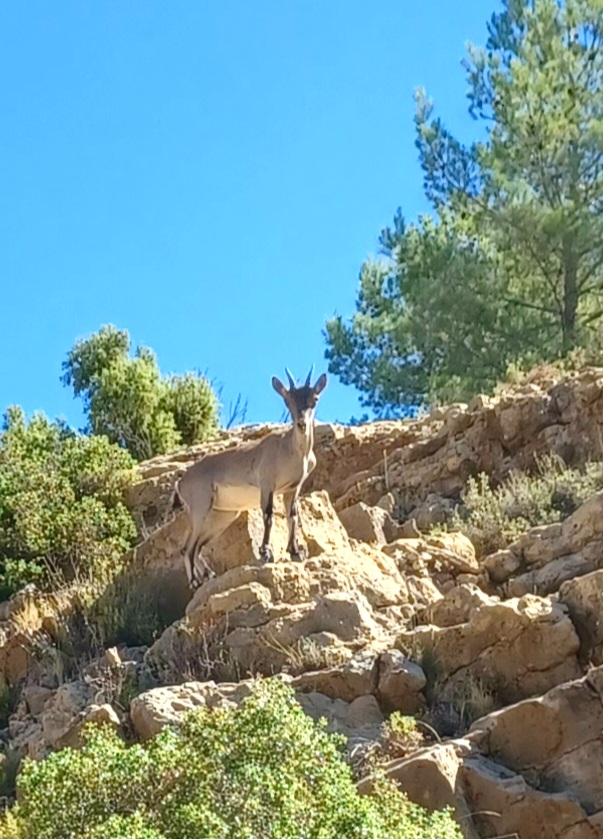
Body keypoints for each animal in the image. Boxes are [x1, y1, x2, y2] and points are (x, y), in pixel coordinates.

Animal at [173, 367, 327, 589]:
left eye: (314, 399)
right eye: (287, 401)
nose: (301, 424)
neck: (291, 451)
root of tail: (181, 482)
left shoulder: (292, 489)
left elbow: (292, 516)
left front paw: (295, 552)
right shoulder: (267, 484)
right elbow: (268, 516)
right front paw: (266, 553)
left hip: (224, 514)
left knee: (199, 544)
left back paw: (209, 575)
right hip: (200, 506)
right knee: (188, 547)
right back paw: (194, 582)